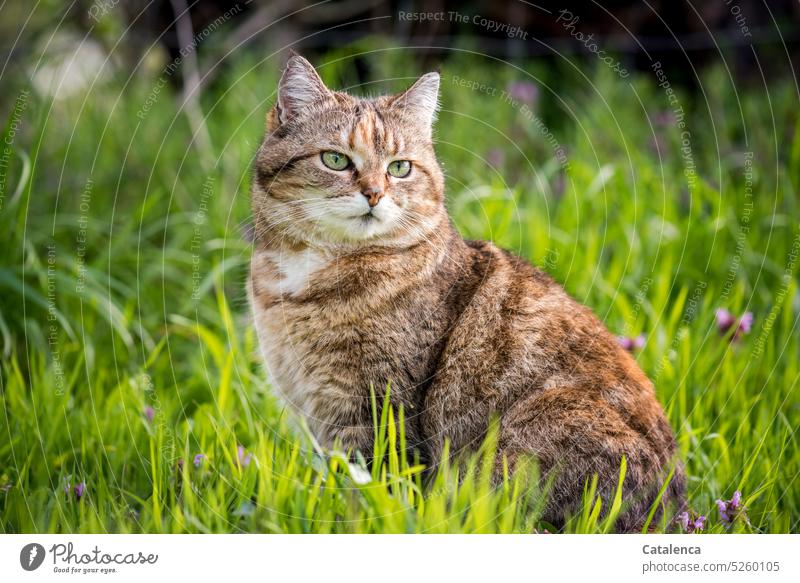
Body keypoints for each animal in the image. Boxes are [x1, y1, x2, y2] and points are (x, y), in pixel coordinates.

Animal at [248, 56, 680, 532]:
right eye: (335, 159)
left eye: (400, 168)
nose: (374, 194)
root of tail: (674, 513)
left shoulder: (377, 407)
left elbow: (370, 490)